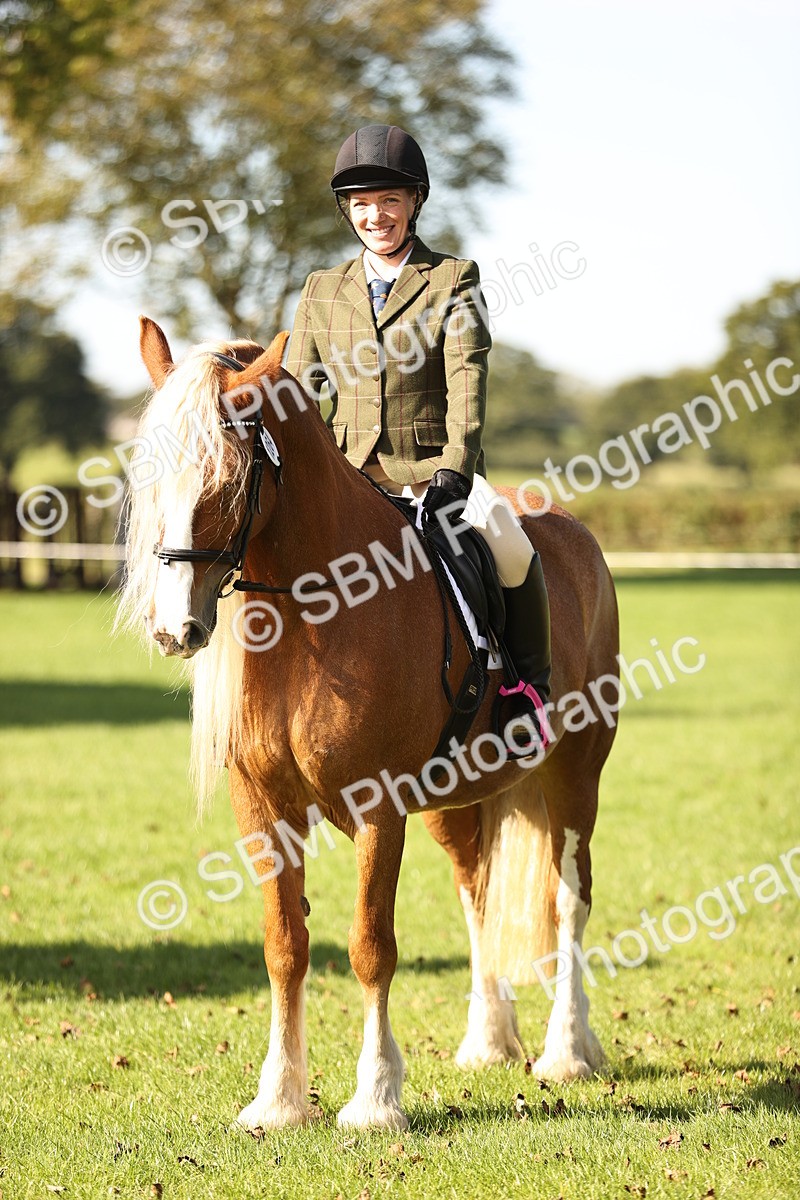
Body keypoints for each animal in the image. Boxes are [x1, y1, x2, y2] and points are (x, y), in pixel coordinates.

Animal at [118, 315, 620, 1131]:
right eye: (149, 479)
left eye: (226, 479)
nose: (174, 630)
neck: (313, 613)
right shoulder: (262, 807)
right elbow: (285, 944)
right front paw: (278, 1099)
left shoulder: (378, 807)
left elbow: (370, 946)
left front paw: (377, 1098)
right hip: (454, 799)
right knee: (477, 893)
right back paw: (489, 1041)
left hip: (574, 772)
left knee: (568, 896)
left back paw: (568, 1051)